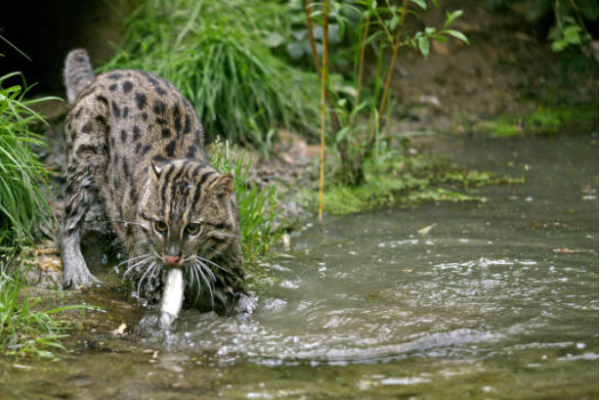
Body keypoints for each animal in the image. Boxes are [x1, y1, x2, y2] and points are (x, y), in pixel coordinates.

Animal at [59, 48, 251, 316]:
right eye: (160, 226)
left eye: (194, 228)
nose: (171, 258)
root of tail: (96, 79)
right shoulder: (146, 279)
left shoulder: (231, 271)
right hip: (86, 156)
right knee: (68, 221)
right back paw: (78, 271)